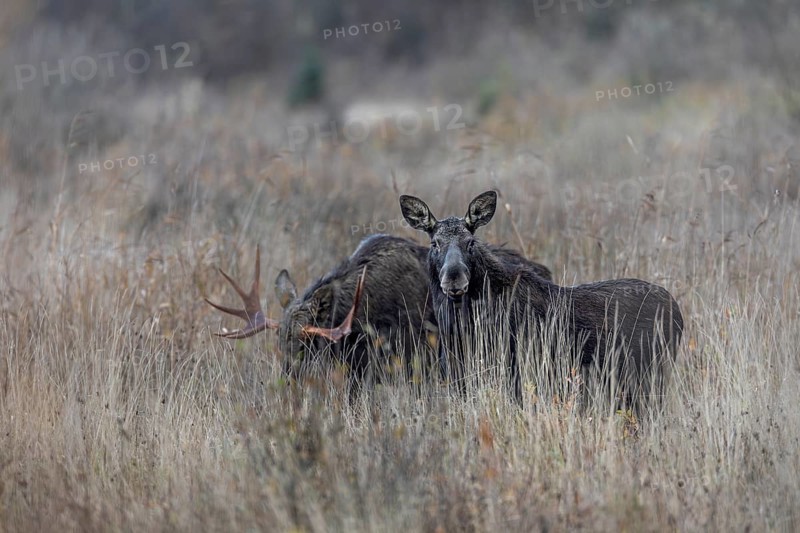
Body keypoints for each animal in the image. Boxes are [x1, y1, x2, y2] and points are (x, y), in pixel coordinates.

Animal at [399, 190, 684, 410]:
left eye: (470, 242)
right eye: (435, 243)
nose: (454, 280)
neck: (458, 327)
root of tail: (679, 313)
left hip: (650, 375)